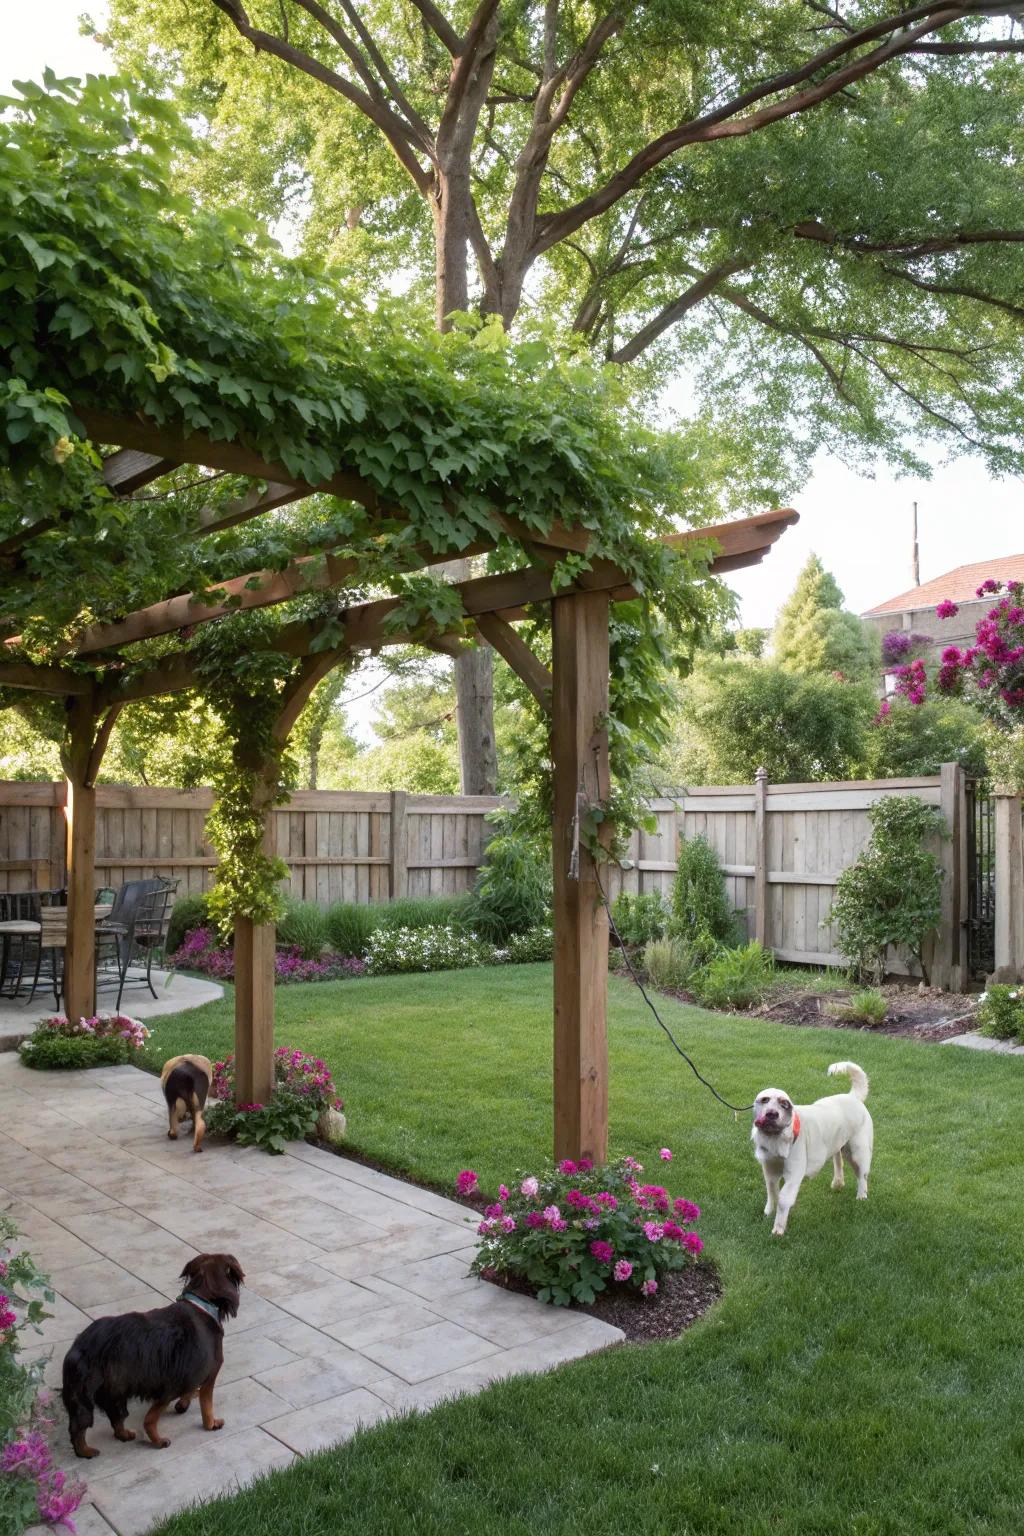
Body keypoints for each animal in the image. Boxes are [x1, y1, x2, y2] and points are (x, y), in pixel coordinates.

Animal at [61, 1253, 244, 1456]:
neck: (201, 1302)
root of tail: (81, 1345)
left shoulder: (188, 1373)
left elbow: (190, 1390)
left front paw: (184, 1403)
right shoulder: (208, 1373)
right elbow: (206, 1404)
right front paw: (211, 1423)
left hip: (111, 1390)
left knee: (115, 1416)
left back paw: (123, 1434)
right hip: (116, 1390)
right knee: (139, 1420)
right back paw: (89, 1451)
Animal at [752, 1069, 872, 1234]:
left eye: (784, 1104)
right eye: (764, 1100)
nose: (772, 1114)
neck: (776, 1138)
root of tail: (853, 1096)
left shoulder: (793, 1175)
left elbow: (783, 1199)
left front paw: (778, 1228)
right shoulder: (769, 1169)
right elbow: (771, 1191)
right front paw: (769, 1212)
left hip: (858, 1152)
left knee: (862, 1176)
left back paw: (861, 1196)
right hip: (838, 1144)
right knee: (838, 1161)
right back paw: (838, 1183)